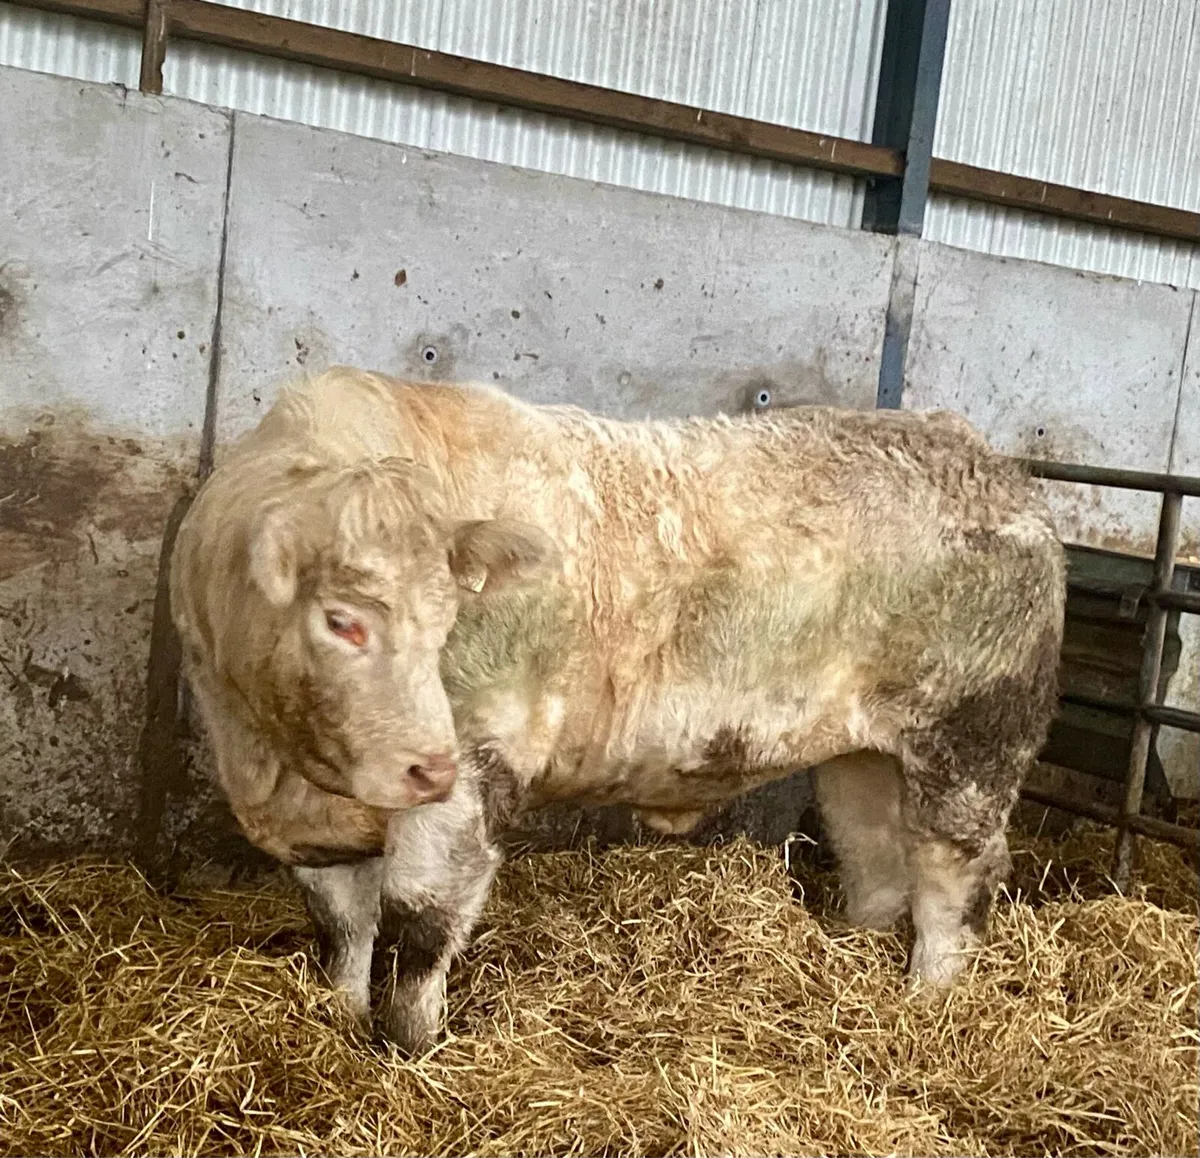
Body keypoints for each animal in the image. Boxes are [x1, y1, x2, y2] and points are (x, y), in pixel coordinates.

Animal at [169, 365, 1065, 1053]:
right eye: (341, 620)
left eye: (448, 615)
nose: (426, 764)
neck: (279, 763)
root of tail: (987, 462)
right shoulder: (314, 827)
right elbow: (343, 930)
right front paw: (337, 1017)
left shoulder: (476, 767)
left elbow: (420, 923)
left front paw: (410, 1047)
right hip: (863, 755)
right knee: (877, 863)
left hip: (970, 744)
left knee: (954, 884)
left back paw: (928, 1005)